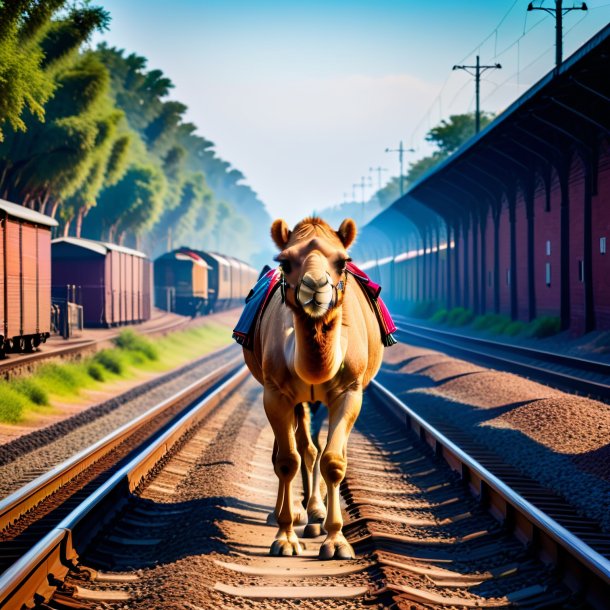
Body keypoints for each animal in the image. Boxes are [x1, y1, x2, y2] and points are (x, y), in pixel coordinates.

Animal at [241, 216, 380, 560]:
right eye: (285, 262)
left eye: (342, 261)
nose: (315, 286)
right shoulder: (276, 393)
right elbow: (287, 459)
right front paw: (286, 537)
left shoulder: (350, 392)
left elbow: (333, 461)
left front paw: (336, 541)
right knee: (298, 448)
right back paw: (298, 512)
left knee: (316, 447)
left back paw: (316, 512)